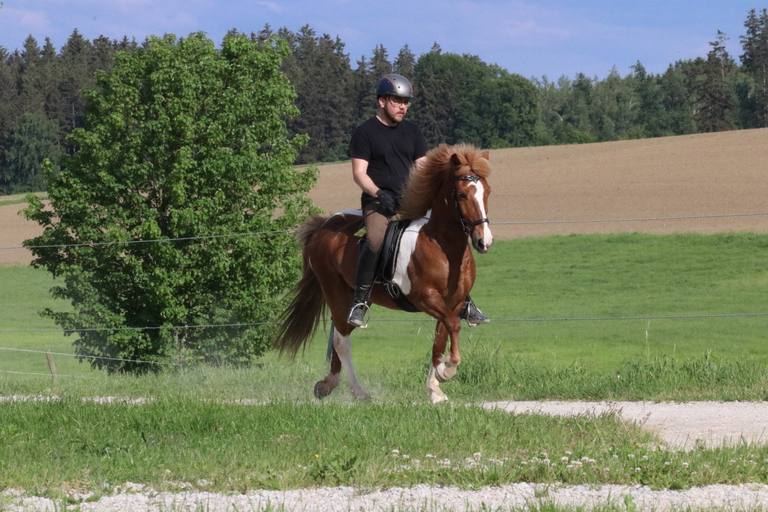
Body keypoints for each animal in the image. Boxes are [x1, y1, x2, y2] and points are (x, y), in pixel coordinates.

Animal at [274, 144, 493, 403]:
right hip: (335, 292)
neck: (443, 247)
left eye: (487, 193)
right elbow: (453, 326)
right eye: (461, 195)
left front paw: (435, 389)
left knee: (340, 334)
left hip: (355, 296)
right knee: (341, 340)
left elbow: (440, 338)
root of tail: (324, 227)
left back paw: (327, 385)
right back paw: (359, 393)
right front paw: (447, 370)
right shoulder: (425, 298)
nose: (483, 241)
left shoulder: (453, 302)